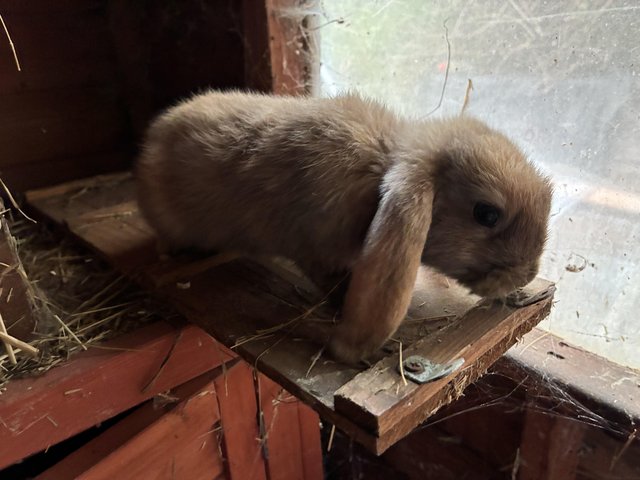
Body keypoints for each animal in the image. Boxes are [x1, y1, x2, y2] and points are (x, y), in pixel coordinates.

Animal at [135, 90, 553, 365]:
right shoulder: (318, 253)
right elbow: (338, 288)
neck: (379, 171)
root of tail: (154, 136)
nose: (526, 274)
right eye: (486, 214)